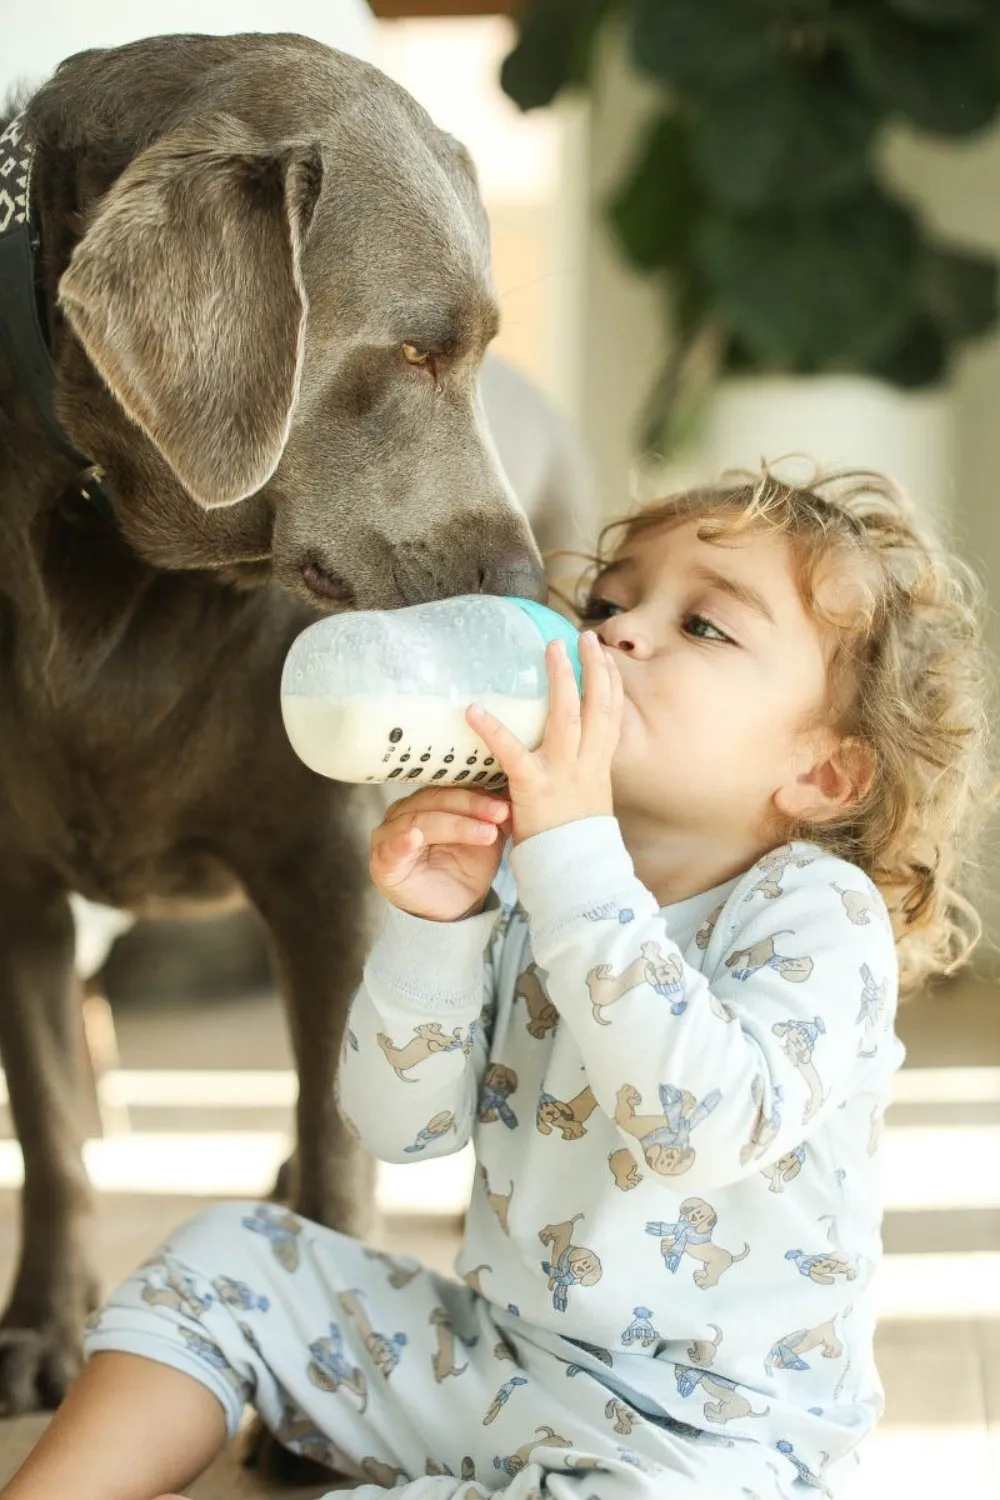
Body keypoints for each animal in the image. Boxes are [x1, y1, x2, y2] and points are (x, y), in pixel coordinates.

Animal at [0, 35, 548, 1416]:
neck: (131, 572)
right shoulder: (14, 888)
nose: (538, 587)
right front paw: (41, 1327)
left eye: (471, 352)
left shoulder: (323, 872)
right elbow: (52, 1123)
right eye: (413, 355)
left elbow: (339, 1116)